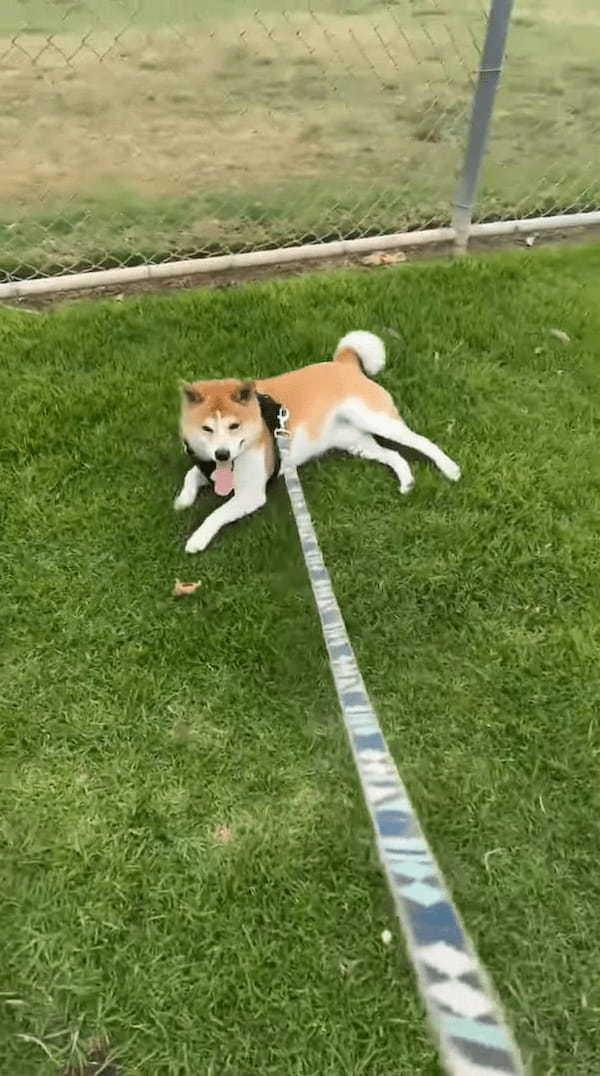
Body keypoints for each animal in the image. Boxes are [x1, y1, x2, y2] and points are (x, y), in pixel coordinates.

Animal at [174, 331, 460, 555]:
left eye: (234, 426)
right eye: (207, 428)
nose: (222, 454)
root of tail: (343, 362)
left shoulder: (251, 493)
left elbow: (217, 513)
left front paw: (198, 538)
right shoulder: (207, 466)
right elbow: (191, 475)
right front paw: (183, 500)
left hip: (377, 421)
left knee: (423, 442)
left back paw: (450, 468)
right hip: (356, 442)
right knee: (393, 455)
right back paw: (407, 481)